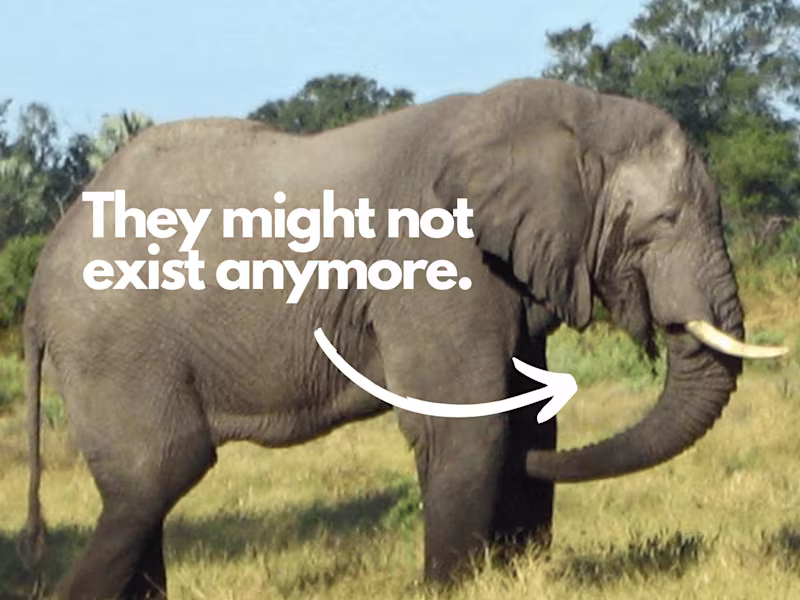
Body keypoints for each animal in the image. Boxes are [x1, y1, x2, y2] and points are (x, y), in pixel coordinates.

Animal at [19, 78, 785, 599]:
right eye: (665, 221)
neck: (572, 113)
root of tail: (37, 288)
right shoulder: (432, 260)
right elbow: (466, 425)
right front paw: (453, 589)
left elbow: (526, 418)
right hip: (115, 347)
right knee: (156, 477)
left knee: (143, 493)